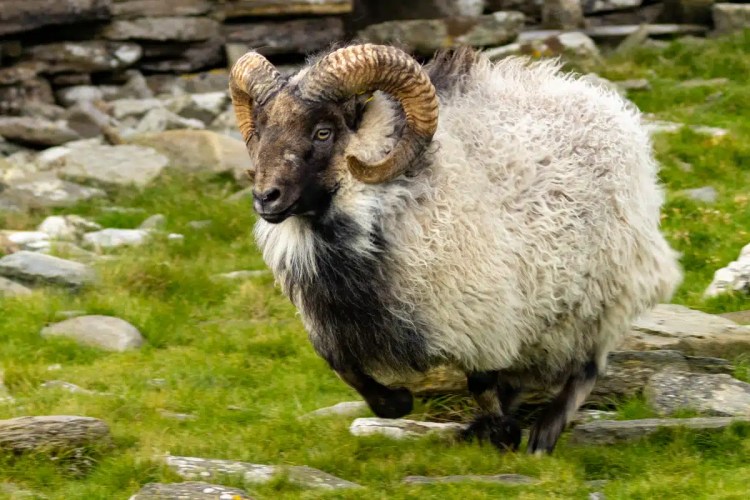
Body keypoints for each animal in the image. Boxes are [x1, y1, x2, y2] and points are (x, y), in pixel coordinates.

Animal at [228, 44, 682, 454]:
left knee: (587, 366)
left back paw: (543, 434)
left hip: (606, 285)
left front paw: (505, 432)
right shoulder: (338, 323)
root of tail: (604, 102)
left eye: (323, 132)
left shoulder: (486, 310)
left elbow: (480, 380)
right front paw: (399, 402)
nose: (265, 198)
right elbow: (343, 368)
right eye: (261, 130)